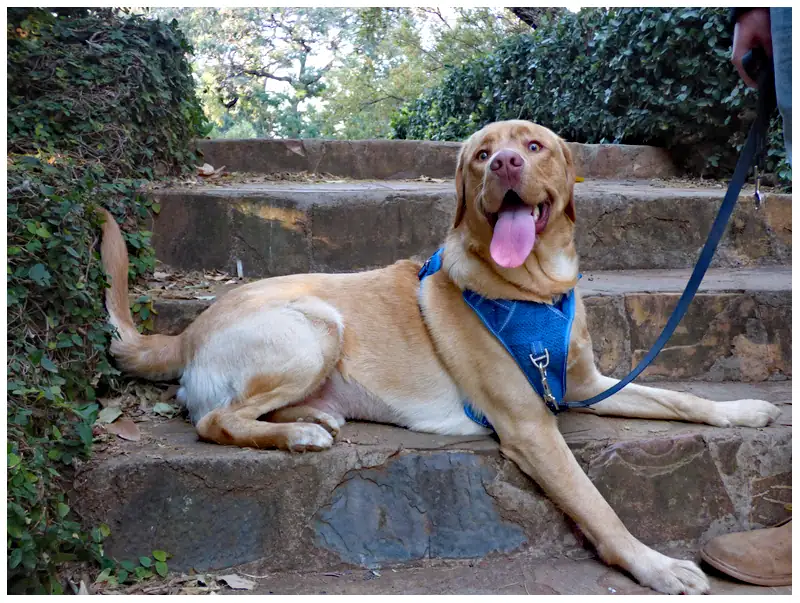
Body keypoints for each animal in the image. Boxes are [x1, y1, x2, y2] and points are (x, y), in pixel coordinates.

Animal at [98, 121, 780, 596]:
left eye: (534, 146)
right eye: (481, 154)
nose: (504, 163)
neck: (535, 290)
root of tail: (185, 332)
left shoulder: (587, 384)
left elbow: (679, 397)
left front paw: (745, 411)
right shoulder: (531, 426)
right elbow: (597, 504)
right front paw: (655, 566)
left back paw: (311, 419)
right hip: (317, 326)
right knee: (214, 420)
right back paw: (299, 436)